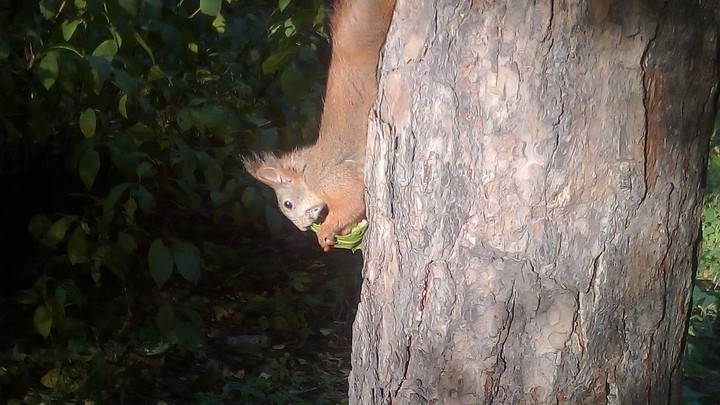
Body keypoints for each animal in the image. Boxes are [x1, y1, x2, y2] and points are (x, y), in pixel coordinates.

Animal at [243, 0, 396, 251]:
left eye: (287, 204)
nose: (302, 228)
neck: (307, 174)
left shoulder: (329, 178)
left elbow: (353, 200)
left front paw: (324, 232)